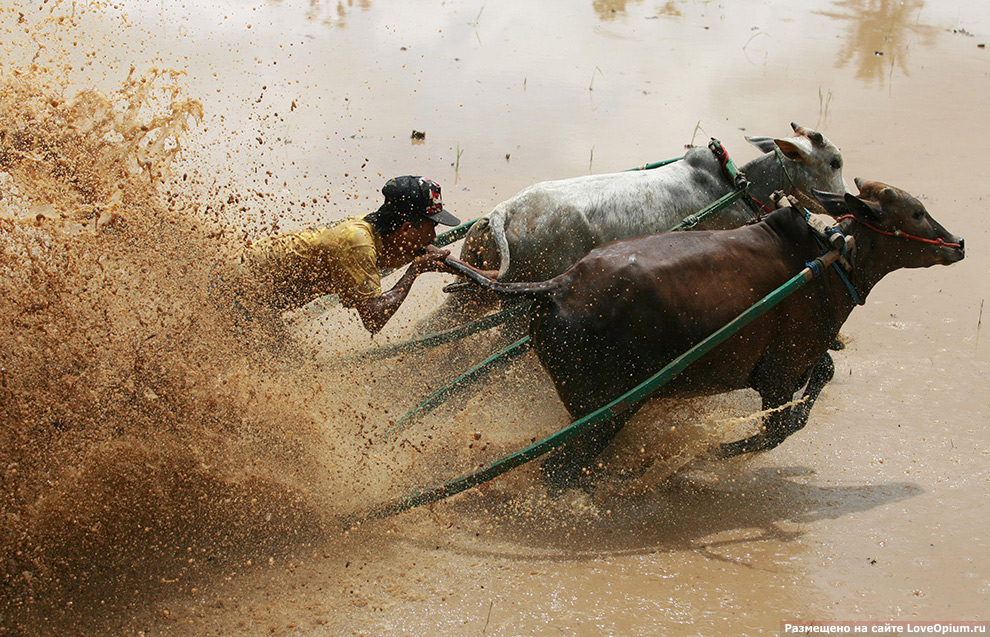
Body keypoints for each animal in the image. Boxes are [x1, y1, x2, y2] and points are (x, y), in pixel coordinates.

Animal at [454, 179, 964, 486]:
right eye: (917, 213)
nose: (958, 243)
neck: (828, 257)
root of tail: (560, 285)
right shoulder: (781, 371)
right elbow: (779, 427)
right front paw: (714, 454)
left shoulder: (802, 357)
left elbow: (821, 379)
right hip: (606, 413)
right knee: (557, 473)